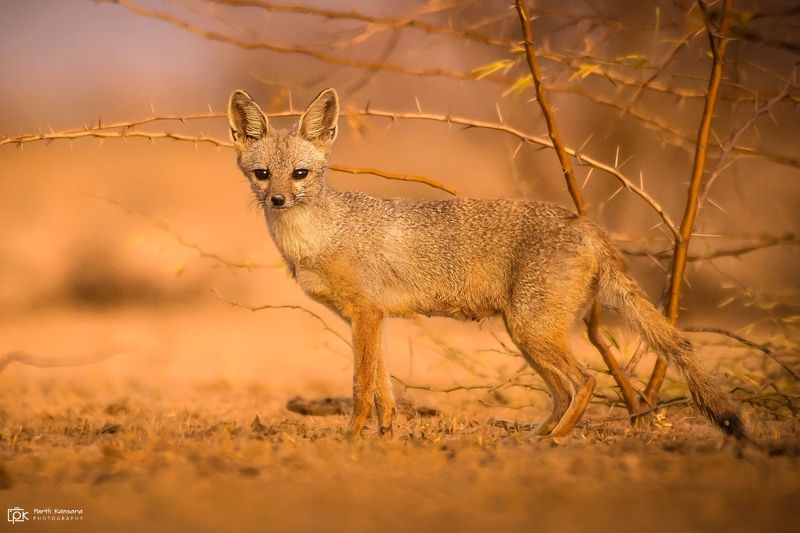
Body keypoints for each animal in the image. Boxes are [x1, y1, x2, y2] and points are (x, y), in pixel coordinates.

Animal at [227, 87, 746, 440]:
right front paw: (386, 437)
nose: (277, 200)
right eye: (262, 174)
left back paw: (556, 442)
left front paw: (351, 439)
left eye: (300, 174)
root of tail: (585, 223)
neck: (318, 236)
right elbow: (384, 391)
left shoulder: (366, 317)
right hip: (527, 335)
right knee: (563, 391)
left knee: (586, 381)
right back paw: (533, 438)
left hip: (532, 331)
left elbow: (359, 388)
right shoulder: (369, 319)